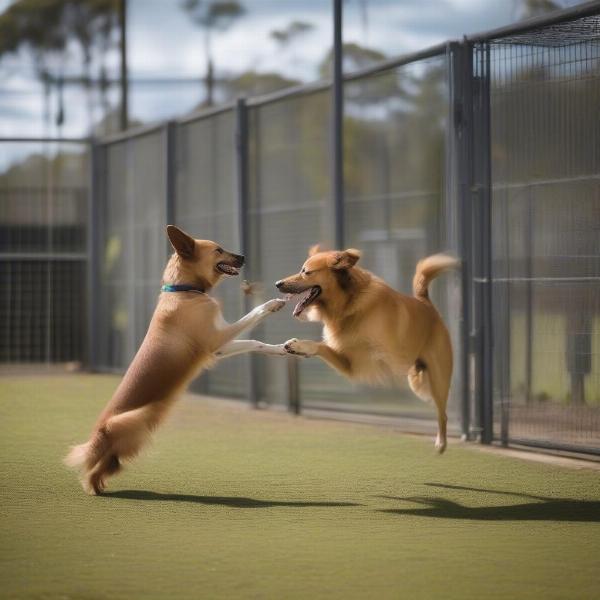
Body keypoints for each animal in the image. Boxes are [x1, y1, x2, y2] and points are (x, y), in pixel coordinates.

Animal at [65, 225, 288, 492]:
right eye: (218, 250)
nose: (243, 256)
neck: (184, 290)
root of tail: (97, 436)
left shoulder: (221, 346)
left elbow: (256, 344)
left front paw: (281, 348)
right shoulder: (218, 341)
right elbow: (254, 317)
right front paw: (272, 303)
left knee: (106, 464)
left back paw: (101, 481)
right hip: (135, 420)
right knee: (97, 468)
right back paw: (96, 486)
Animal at [278, 246, 460, 452]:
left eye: (306, 272)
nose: (277, 284)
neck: (348, 304)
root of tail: (427, 305)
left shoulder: (375, 362)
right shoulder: (350, 365)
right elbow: (321, 346)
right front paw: (298, 347)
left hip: (437, 380)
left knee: (442, 413)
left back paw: (441, 443)